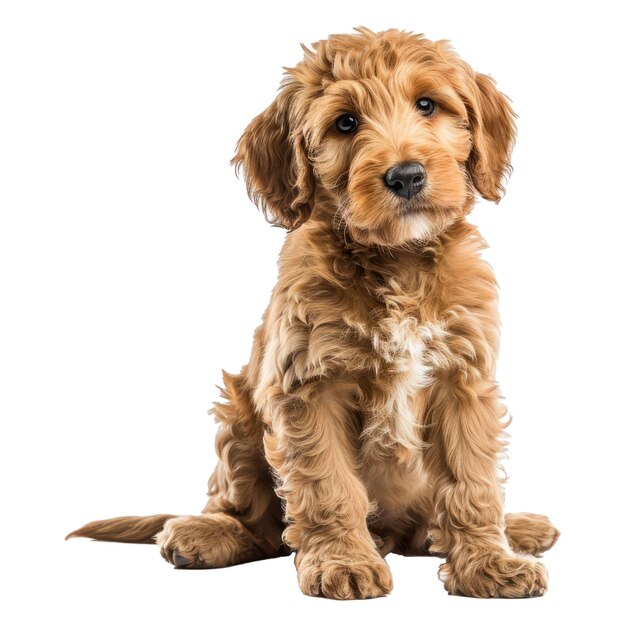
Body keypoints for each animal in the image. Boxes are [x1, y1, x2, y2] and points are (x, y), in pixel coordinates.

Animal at [67, 26, 556, 596]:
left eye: (427, 105)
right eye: (345, 122)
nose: (407, 176)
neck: (397, 262)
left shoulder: (463, 379)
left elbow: (470, 483)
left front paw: (488, 564)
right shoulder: (308, 384)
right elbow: (327, 484)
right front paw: (343, 562)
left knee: (425, 526)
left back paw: (517, 529)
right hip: (238, 418)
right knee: (256, 524)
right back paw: (204, 534)